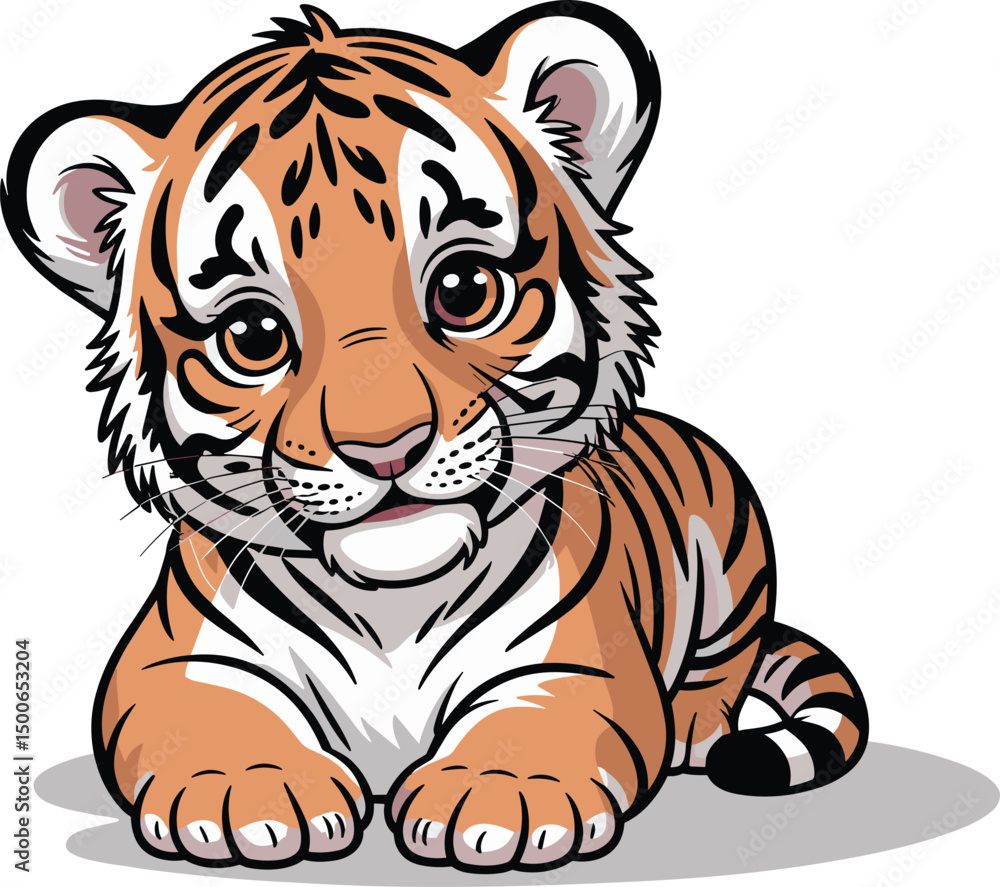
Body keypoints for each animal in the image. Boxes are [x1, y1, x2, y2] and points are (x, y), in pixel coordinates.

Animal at [2, 2, 868, 872]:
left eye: (464, 288)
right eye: (253, 335)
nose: (384, 444)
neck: (390, 603)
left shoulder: (574, 654)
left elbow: (540, 714)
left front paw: (499, 793)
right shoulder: (178, 654)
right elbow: (202, 709)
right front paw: (247, 789)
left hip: (732, 557)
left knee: (724, 662)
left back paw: (694, 723)